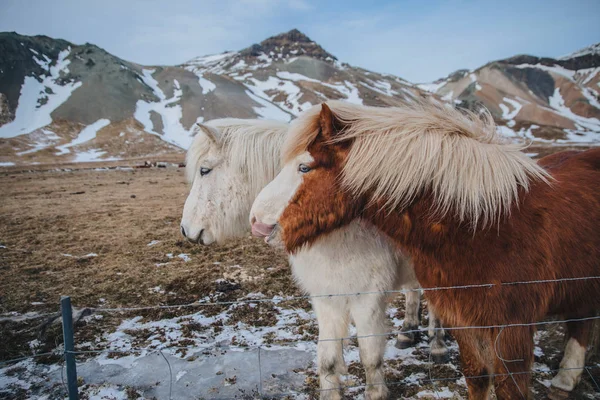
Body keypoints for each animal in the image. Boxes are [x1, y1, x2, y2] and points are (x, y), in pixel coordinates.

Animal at [178, 119, 446, 400]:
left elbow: (370, 354)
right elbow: (326, 355)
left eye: (205, 170)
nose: (186, 230)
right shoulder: (325, 295)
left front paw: (376, 392)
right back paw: (408, 332)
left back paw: (437, 344)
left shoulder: (367, 299)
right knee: (413, 291)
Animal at [251, 101, 600, 400]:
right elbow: (327, 356)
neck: (486, 223)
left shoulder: (510, 329)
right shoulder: (329, 299)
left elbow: (370, 353)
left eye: (304, 167)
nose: (256, 222)